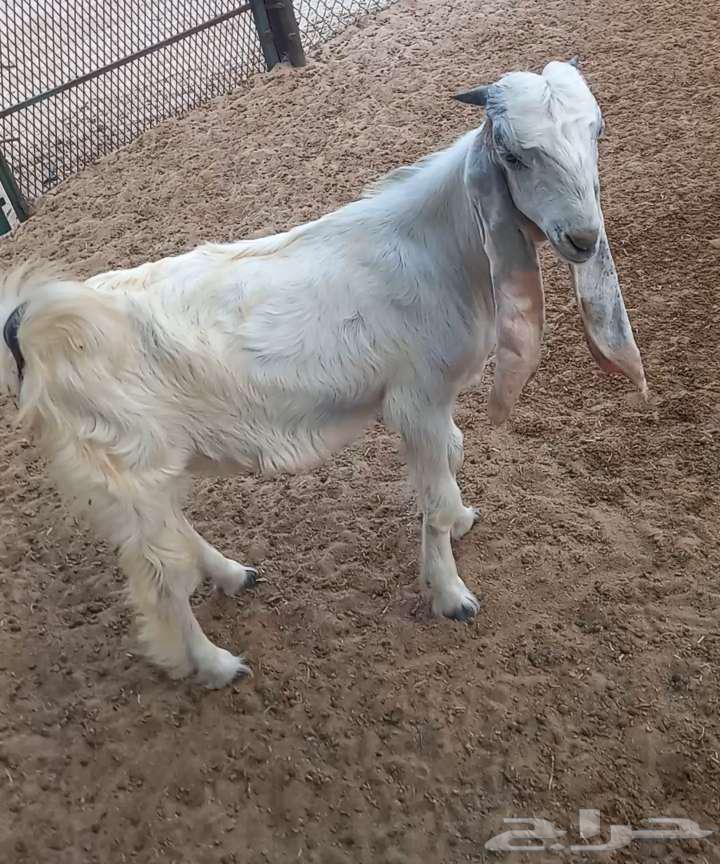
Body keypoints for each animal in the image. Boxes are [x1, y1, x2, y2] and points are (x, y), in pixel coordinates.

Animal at [0, 60, 647, 687]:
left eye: (596, 133)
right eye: (512, 154)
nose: (583, 238)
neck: (439, 252)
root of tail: (30, 326)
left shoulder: (433, 403)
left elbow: (455, 457)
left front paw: (463, 519)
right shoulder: (417, 399)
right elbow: (433, 498)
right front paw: (451, 595)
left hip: (151, 468)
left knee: (174, 536)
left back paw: (232, 574)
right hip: (125, 463)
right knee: (161, 577)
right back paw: (214, 665)